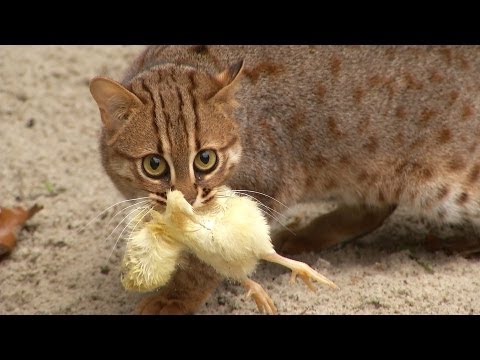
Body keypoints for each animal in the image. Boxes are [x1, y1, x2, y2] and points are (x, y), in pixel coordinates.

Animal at [90, 45, 480, 314]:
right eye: (154, 164)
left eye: (206, 158)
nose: (185, 199)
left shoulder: (264, 186)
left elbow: (208, 262)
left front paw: (175, 298)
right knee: (373, 208)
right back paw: (305, 237)